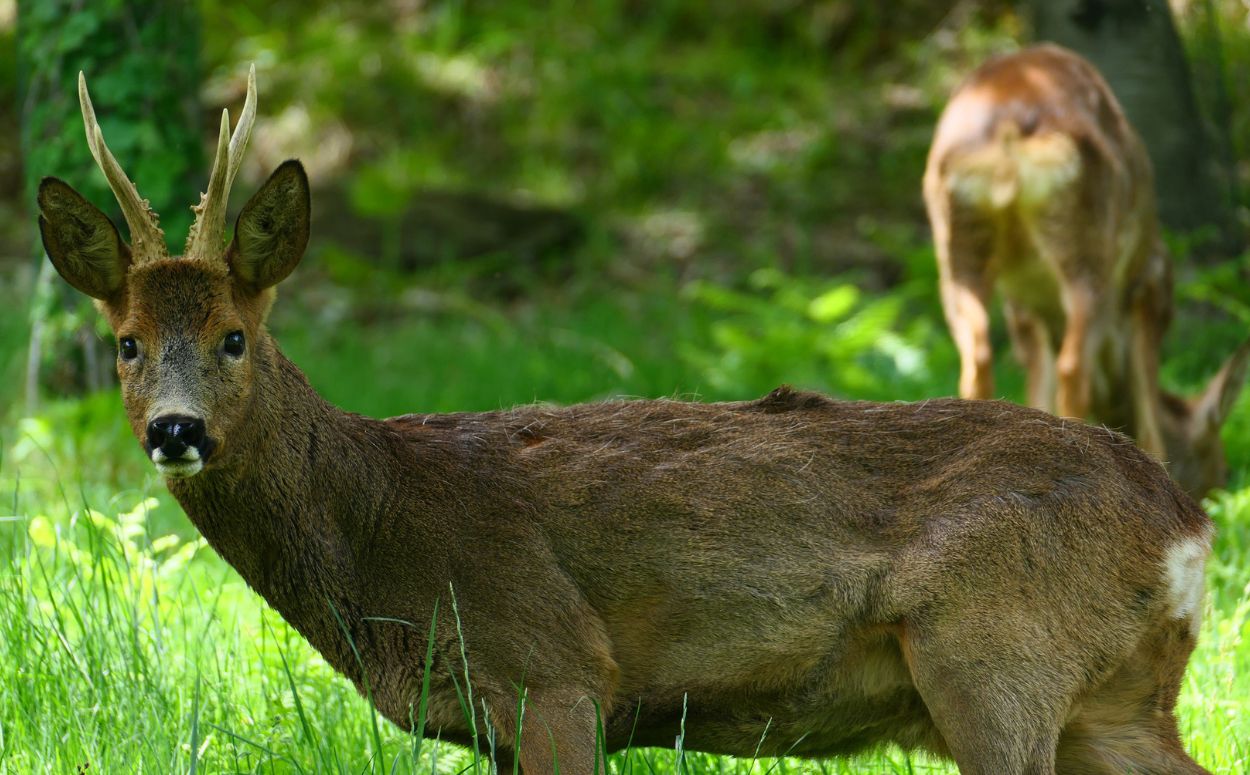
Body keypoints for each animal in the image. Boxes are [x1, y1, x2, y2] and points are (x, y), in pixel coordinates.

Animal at [41, 66, 1220, 775]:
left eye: (236, 335)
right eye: (127, 342)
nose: (176, 430)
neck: (385, 534)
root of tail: (1186, 525)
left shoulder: (555, 671)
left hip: (992, 650)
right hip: (1112, 698)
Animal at [920, 43, 1250, 502]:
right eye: (1221, 468)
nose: (1212, 497)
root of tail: (1010, 122)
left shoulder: (1024, 309)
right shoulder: (1150, 288)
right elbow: (1149, 412)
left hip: (957, 247)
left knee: (979, 359)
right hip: (1086, 249)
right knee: (1073, 368)